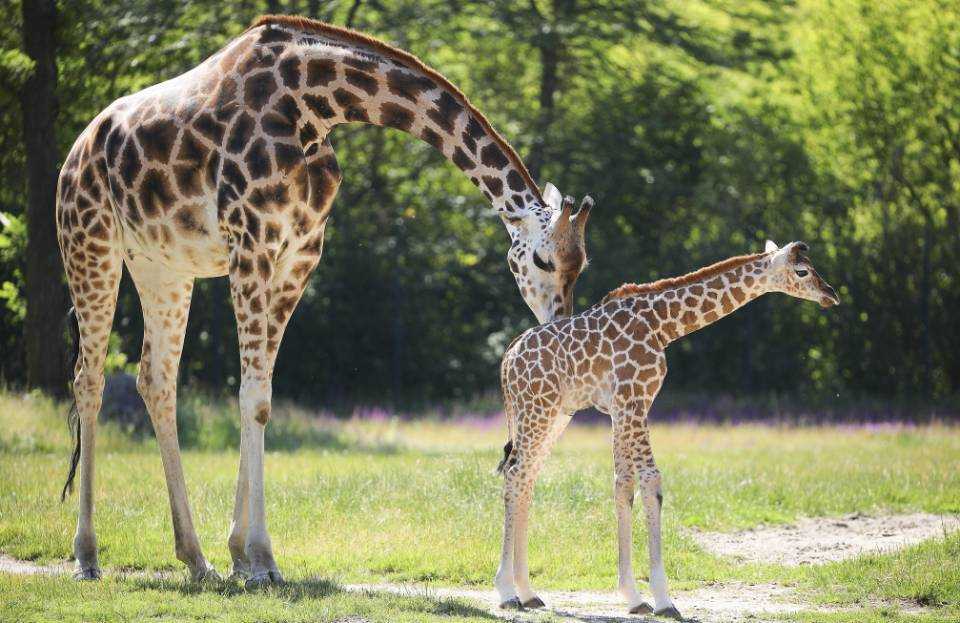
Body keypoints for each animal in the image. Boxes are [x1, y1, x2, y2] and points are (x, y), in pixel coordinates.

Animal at [58, 17, 592, 588]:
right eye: (542, 261)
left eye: (581, 265)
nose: (560, 323)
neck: (313, 102)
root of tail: (76, 150)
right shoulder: (251, 246)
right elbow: (252, 394)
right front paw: (260, 559)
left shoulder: (299, 254)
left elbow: (261, 396)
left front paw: (241, 556)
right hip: (90, 244)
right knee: (88, 379)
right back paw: (87, 554)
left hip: (162, 267)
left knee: (155, 379)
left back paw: (195, 559)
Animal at [496, 240, 840, 620]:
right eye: (802, 271)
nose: (831, 294)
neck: (662, 324)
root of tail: (508, 358)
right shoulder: (634, 400)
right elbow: (651, 482)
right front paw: (663, 599)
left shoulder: (623, 407)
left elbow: (623, 485)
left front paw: (633, 597)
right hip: (537, 409)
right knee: (515, 473)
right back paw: (507, 591)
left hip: (555, 415)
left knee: (526, 477)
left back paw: (528, 592)